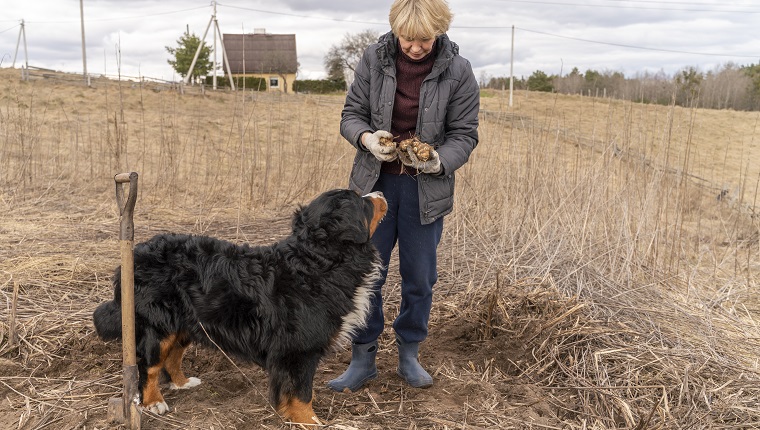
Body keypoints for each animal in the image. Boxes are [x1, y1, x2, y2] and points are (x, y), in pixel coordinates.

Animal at [93, 190, 386, 424]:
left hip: (189, 322)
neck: (317, 262)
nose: (380, 192)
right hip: (159, 326)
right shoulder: (297, 351)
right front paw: (310, 422)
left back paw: (183, 383)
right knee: (150, 365)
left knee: (173, 357)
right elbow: (302, 394)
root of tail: (136, 252)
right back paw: (153, 401)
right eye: (362, 202)